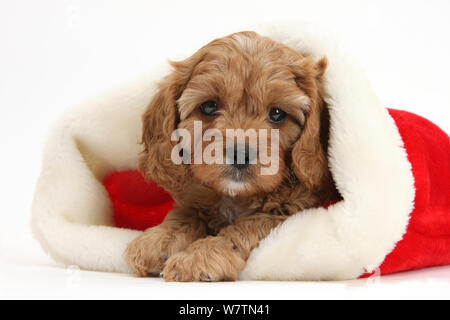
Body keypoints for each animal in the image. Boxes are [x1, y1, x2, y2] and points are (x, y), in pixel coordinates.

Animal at [125, 31, 336, 282]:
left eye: (277, 114)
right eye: (208, 107)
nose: (240, 154)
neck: (235, 197)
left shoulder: (292, 212)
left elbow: (248, 226)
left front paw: (201, 255)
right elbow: (186, 213)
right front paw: (159, 240)